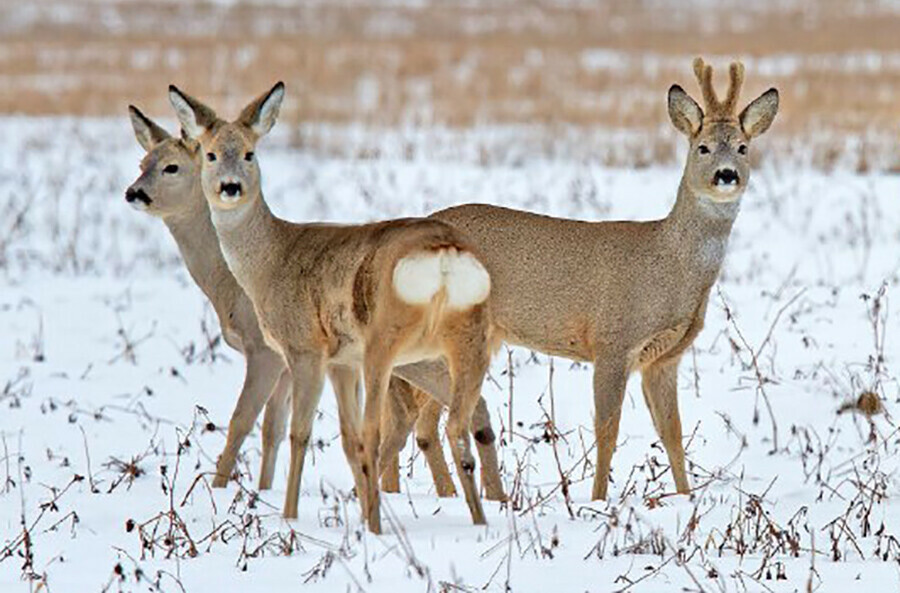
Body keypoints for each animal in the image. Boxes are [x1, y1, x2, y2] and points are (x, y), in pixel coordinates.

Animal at [390, 55, 776, 500]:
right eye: (703, 147)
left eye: (744, 147)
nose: (727, 175)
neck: (670, 266)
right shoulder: (613, 341)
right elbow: (607, 430)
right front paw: (598, 501)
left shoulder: (665, 358)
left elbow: (672, 432)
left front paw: (685, 498)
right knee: (415, 418)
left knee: (416, 423)